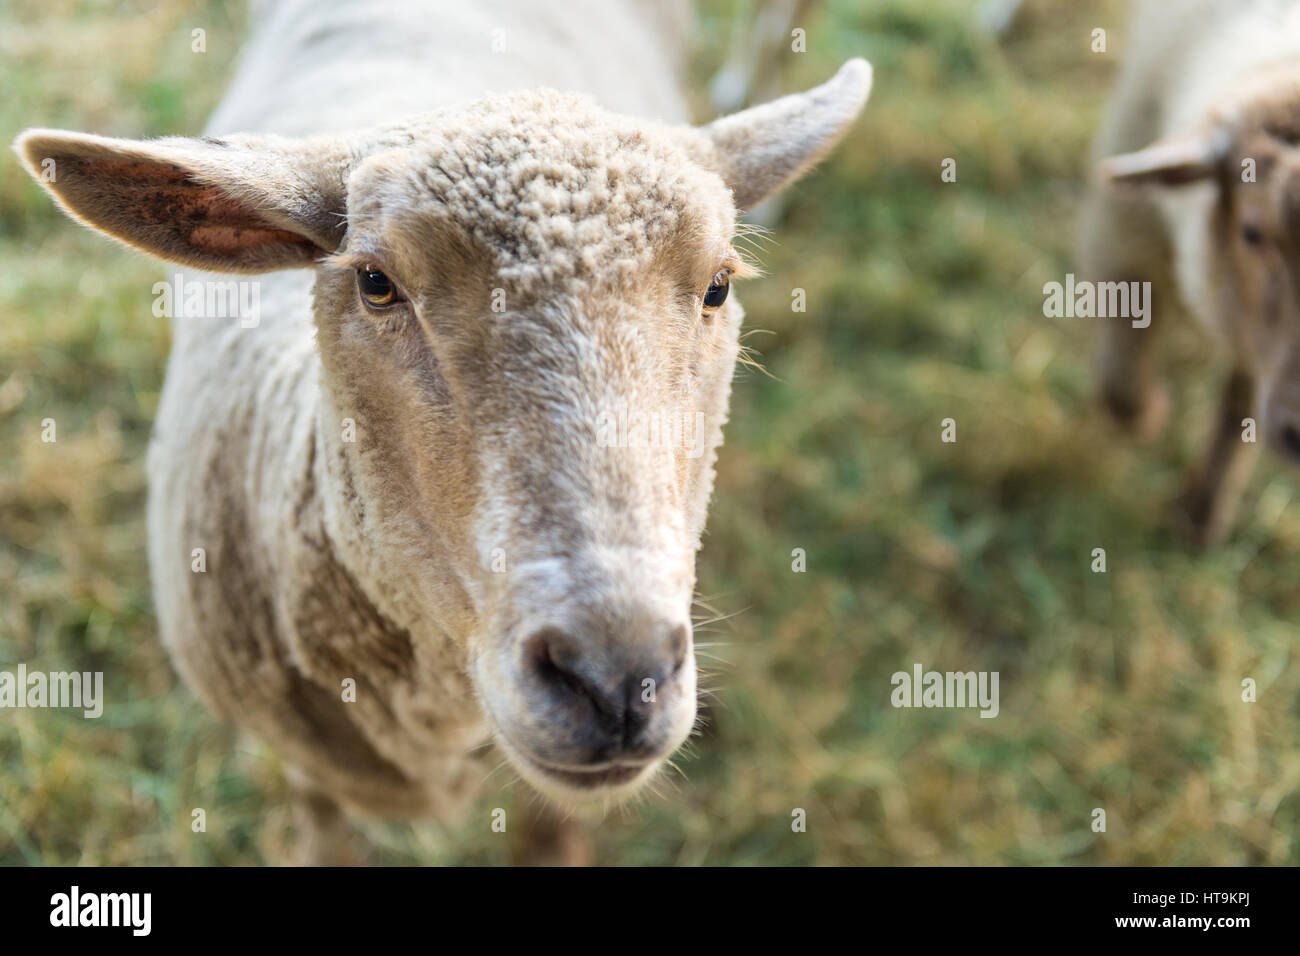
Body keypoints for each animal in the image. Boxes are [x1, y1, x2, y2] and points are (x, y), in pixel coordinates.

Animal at [1081, 0, 1300, 546]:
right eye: (1251, 232)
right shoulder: (1125, 241)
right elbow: (1120, 384)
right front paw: (1150, 418)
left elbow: (1238, 403)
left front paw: (1203, 513)